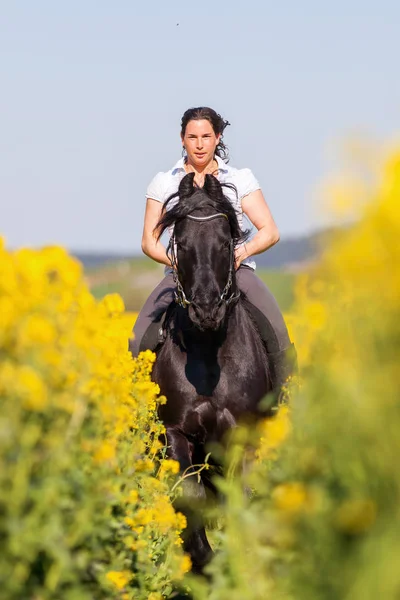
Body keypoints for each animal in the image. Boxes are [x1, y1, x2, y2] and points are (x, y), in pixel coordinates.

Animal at [153, 172, 272, 572]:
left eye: (224, 243)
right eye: (182, 243)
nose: (207, 310)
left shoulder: (240, 437)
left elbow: (239, 504)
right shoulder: (176, 433)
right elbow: (190, 502)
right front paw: (204, 565)